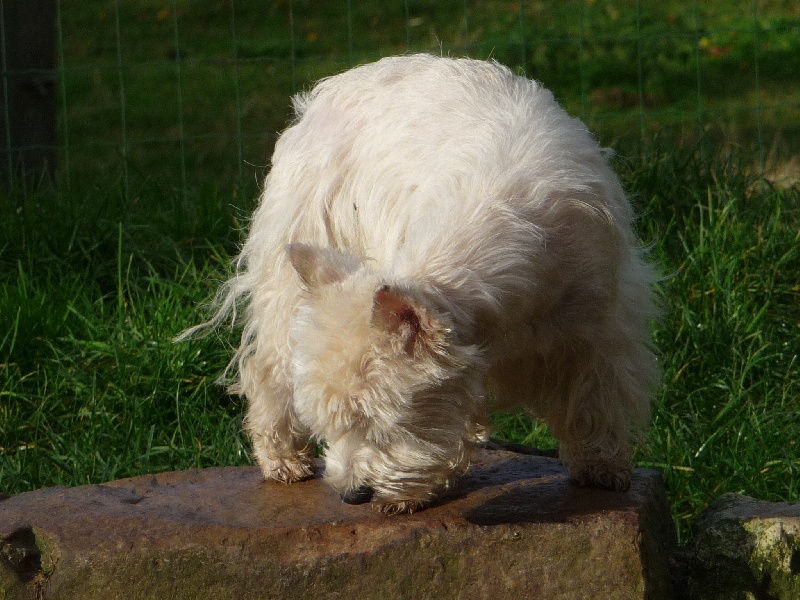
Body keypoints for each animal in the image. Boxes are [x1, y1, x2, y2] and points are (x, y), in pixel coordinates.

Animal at [184, 55, 660, 510]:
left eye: (379, 422)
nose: (353, 495)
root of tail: (330, 88)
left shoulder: (599, 323)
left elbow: (594, 398)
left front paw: (601, 465)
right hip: (294, 259)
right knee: (269, 364)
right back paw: (282, 459)